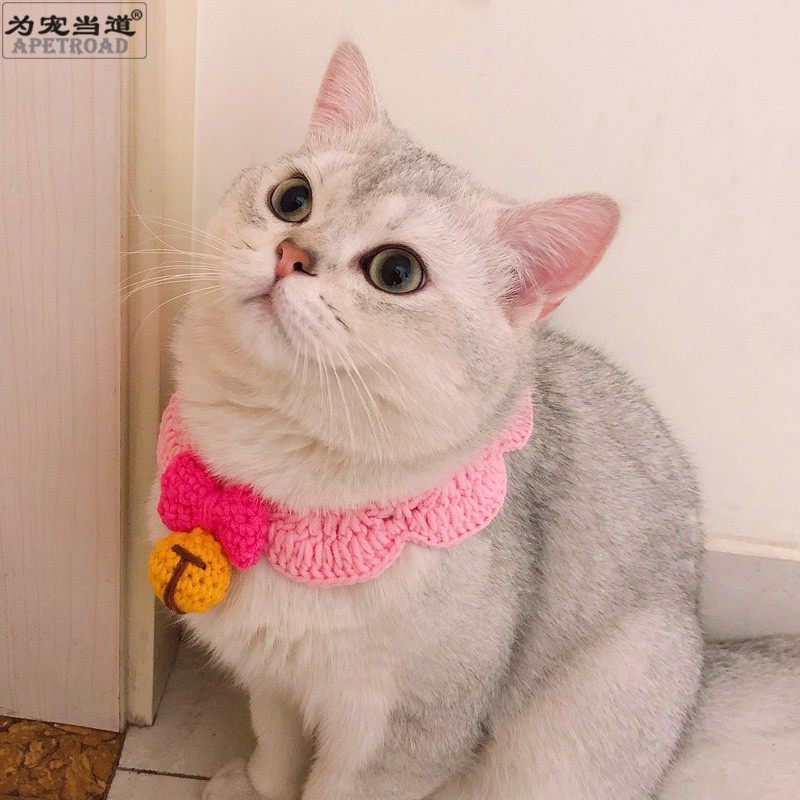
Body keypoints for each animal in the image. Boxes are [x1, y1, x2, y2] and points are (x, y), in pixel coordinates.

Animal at [151, 42, 800, 800]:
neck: (281, 488)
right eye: (292, 198)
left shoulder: (406, 735)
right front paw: (256, 786)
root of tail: (701, 666)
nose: (291, 255)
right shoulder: (274, 679)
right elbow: (276, 748)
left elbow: (336, 788)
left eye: (395, 272)